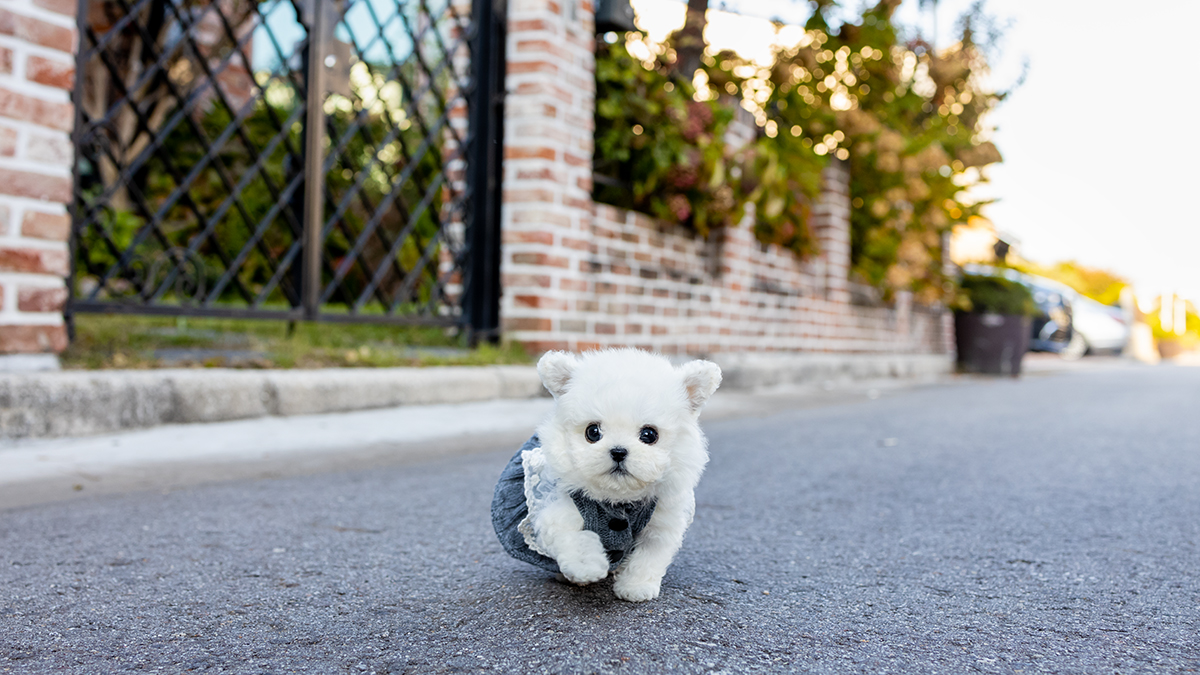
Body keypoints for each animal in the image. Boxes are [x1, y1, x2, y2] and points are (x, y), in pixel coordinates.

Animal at [489, 345, 715, 598]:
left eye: (649, 434)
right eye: (592, 432)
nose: (618, 451)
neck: (617, 500)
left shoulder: (661, 524)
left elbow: (648, 557)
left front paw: (636, 587)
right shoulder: (558, 513)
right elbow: (576, 539)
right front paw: (587, 569)